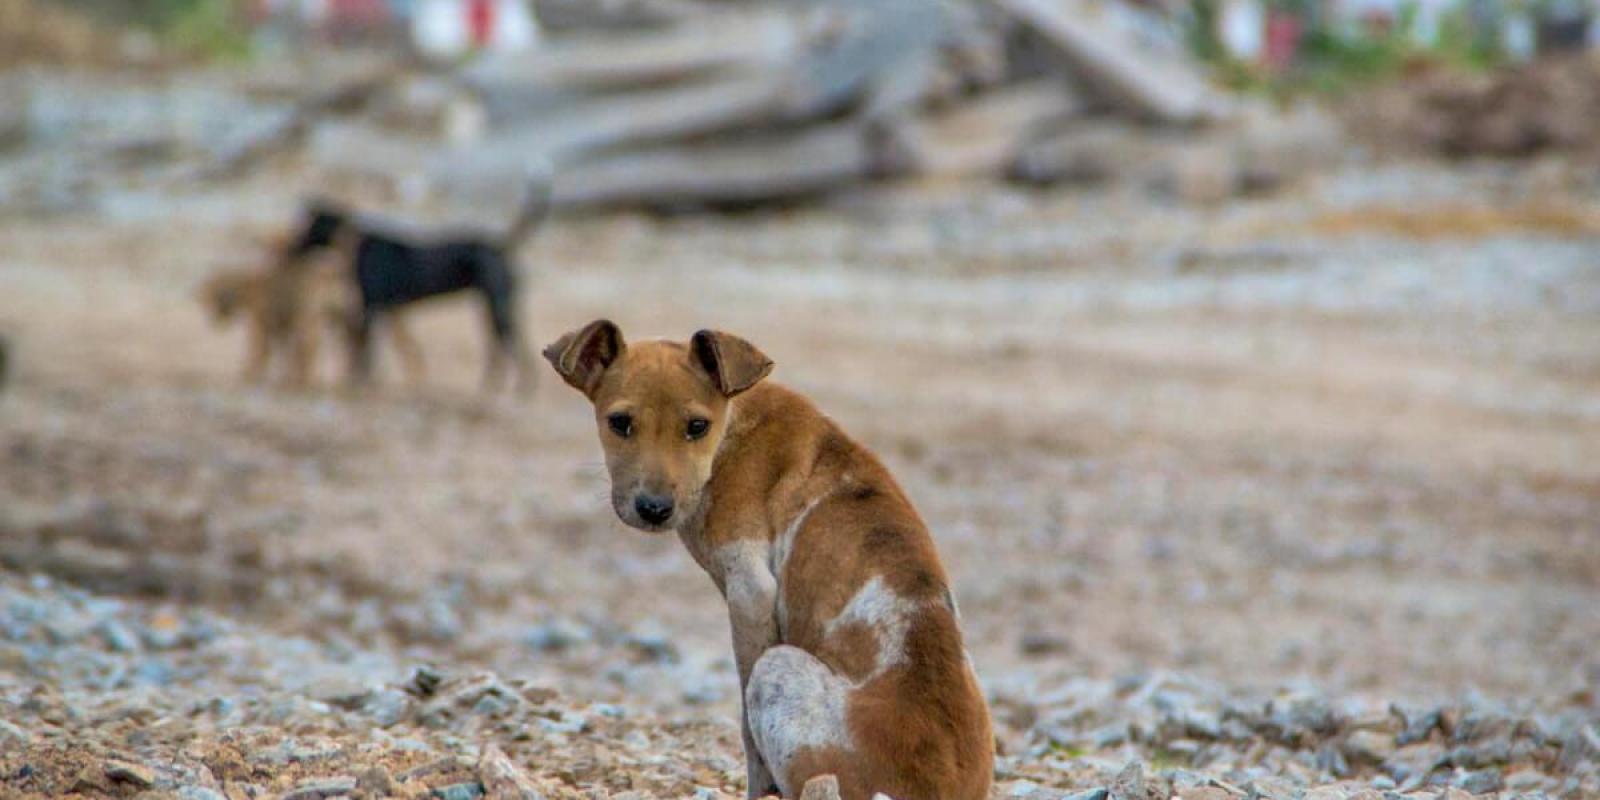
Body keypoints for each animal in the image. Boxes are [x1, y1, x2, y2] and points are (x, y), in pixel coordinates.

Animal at [291, 180, 553, 395]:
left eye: (306, 226)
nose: (292, 247)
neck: (352, 243)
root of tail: (501, 245)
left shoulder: (370, 307)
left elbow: (365, 351)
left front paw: (360, 382)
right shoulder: (384, 310)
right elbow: (382, 349)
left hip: (497, 306)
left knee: (509, 342)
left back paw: (519, 388)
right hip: (494, 305)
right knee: (501, 344)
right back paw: (493, 387)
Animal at [553, 320, 998, 800]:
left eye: (697, 426)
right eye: (619, 422)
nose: (654, 509)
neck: (732, 429)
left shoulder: (750, 592)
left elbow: (748, 734)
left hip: (778, 669)